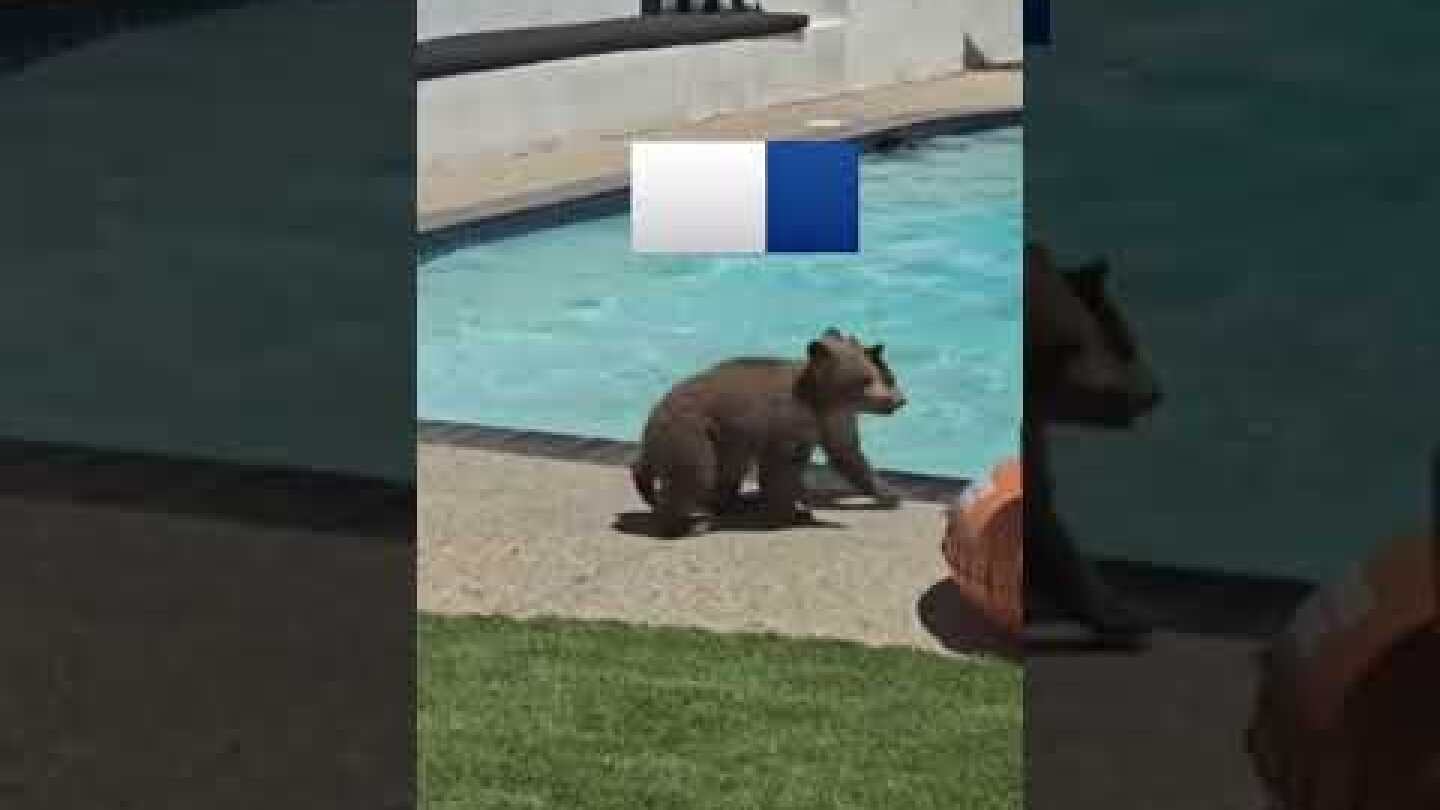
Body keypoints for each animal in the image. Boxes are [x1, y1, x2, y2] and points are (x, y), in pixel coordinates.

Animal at [631, 328, 906, 537]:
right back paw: (688, 524)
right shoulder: (783, 423)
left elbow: (849, 456)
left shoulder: (835, 422)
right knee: (696, 475)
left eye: (882, 375)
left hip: (723, 438)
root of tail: (651, 416)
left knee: (728, 469)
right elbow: (780, 469)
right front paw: (793, 514)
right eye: (867, 378)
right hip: (693, 431)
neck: (821, 403)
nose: (898, 401)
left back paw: (732, 504)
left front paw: (890, 494)